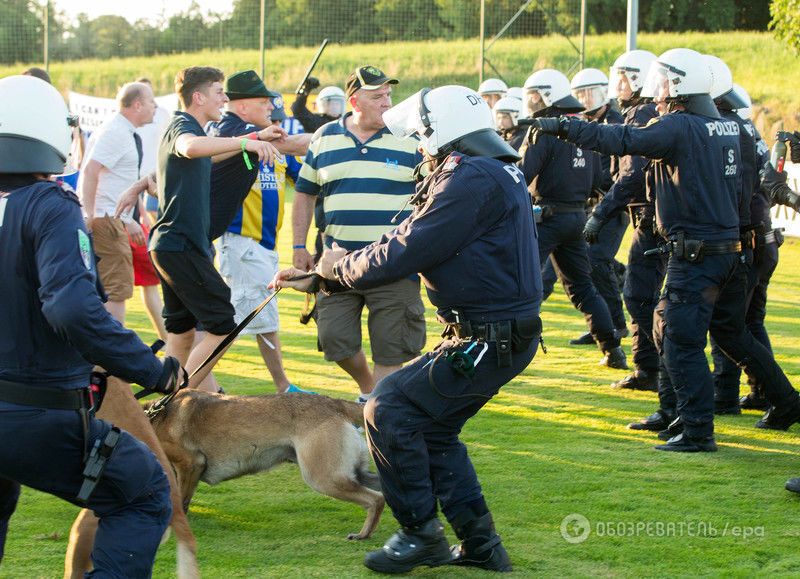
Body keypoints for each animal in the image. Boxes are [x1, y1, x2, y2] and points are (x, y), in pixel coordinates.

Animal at [151, 388, 388, 540]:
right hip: (352, 473)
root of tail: (334, 403)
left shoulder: (191, 464)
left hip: (324, 478)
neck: (155, 417)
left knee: (375, 499)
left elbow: (181, 500)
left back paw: (364, 534)